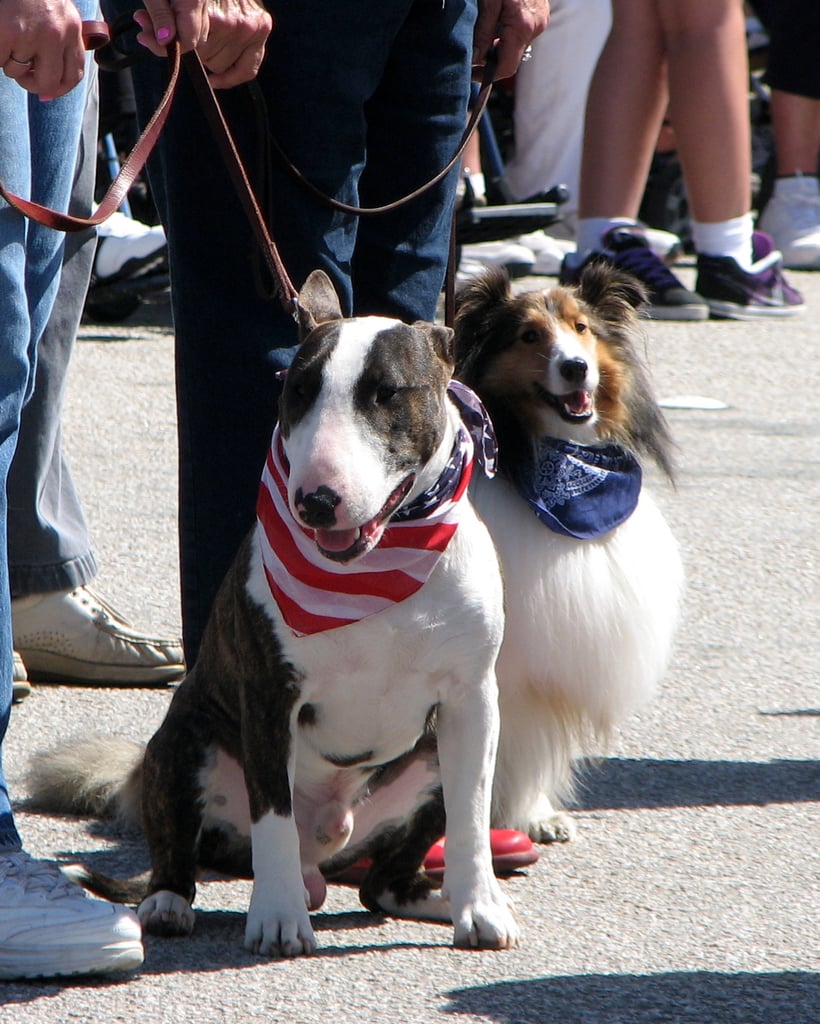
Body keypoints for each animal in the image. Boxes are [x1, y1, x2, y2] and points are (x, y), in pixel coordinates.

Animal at [31, 268, 518, 954]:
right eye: (298, 392)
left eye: (387, 393)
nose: (314, 501)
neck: (374, 569)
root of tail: (328, 851)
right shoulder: (269, 697)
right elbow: (274, 815)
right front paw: (279, 919)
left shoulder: (471, 701)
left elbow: (471, 815)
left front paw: (480, 908)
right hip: (183, 741)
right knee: (185, 853)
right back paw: (169, 903)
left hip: (424, 758)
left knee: (381, 885)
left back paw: (430, 896)